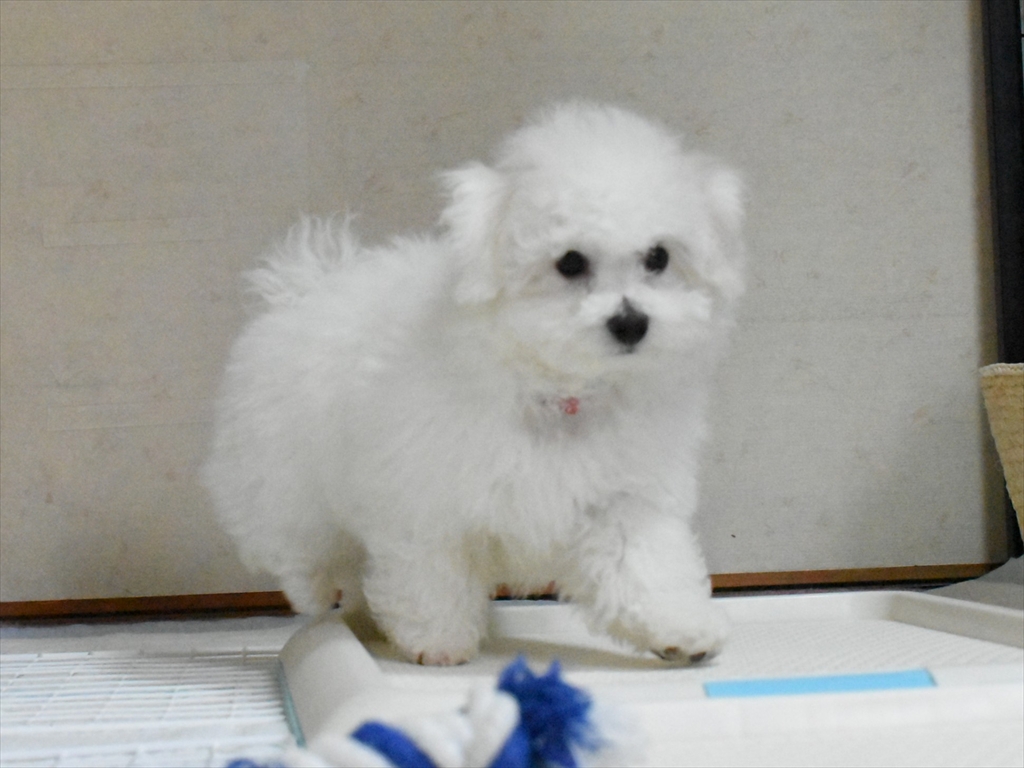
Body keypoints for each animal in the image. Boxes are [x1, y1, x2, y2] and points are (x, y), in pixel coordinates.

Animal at [204, 103, 745, 665]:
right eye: (570, 262)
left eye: (659, 257)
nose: (631, 322)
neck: (558, 391)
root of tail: (307, 285)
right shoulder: (424, 495)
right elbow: (431, 571)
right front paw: (438, 642)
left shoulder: (624, 495)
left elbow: (642, 564)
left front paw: (679, 629)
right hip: (282, 475)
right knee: (296, 543)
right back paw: (316, 589)